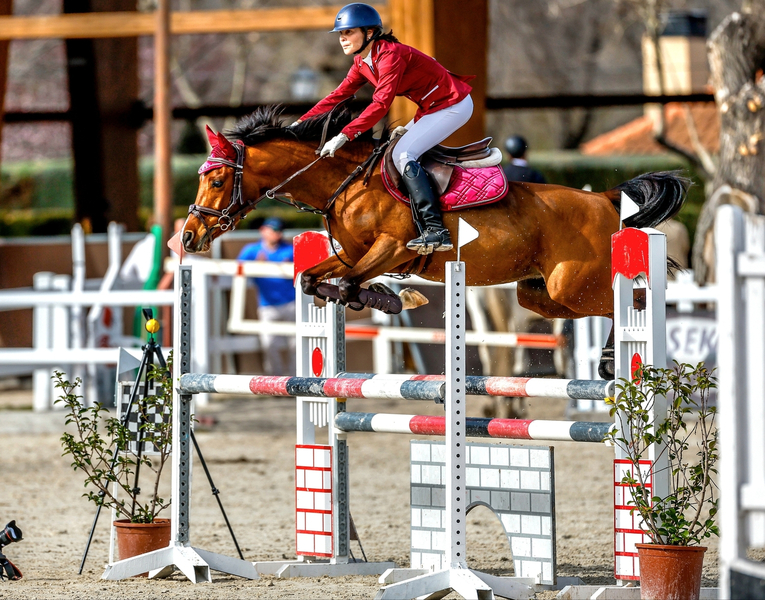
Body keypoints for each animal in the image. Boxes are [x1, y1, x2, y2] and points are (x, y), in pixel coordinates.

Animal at [182, 105, 689, 379]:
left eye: (218, 180)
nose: (188, 236)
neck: (346, 183)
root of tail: (603, 198)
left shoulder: (389, 248)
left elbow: (347, 283)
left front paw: (387, 297)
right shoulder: (352, 255)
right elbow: (315, 280)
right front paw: (385, 298)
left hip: (573, 284)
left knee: (630, 301)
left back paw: (618, 359)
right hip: (540, 295)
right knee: (598, 306)